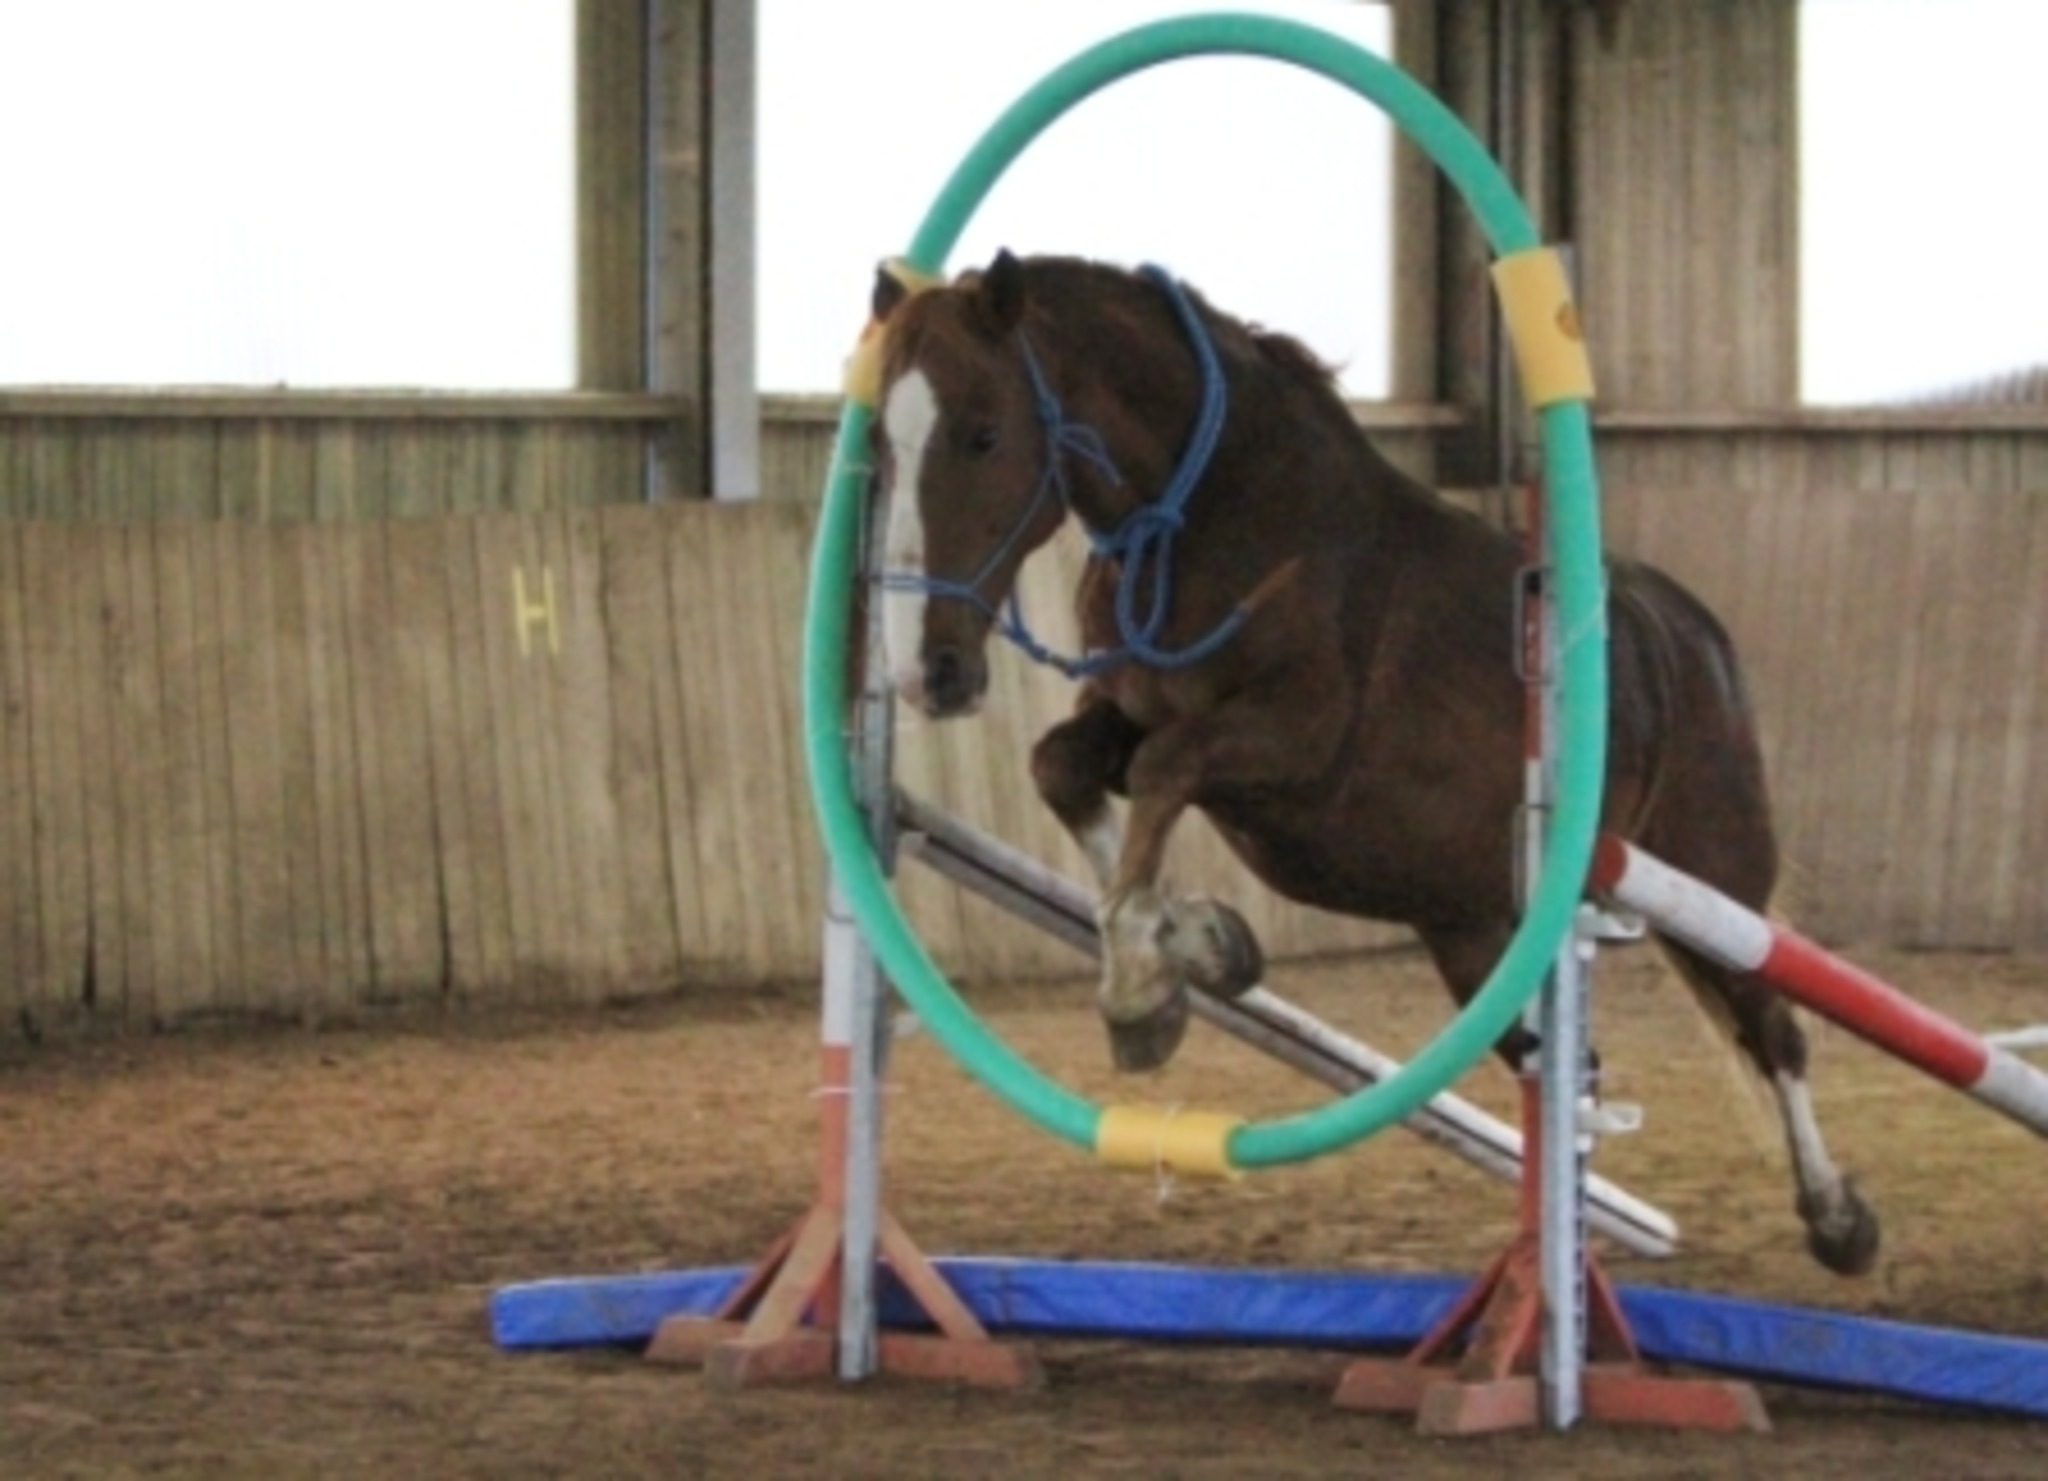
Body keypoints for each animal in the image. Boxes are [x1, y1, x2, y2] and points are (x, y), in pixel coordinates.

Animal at [865, 248, 1879, 1276]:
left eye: (985, 433)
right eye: (882, 444)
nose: (925, 670)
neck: (1217, 523)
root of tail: (1695, 638)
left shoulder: (1294, 742)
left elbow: (1164, 776)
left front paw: (1145, 984)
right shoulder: (1124, 717)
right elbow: (1064, 769)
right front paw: (1201, 942)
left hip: (1713, 880)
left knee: (1774, 1032)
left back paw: (1839, 1221)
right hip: (1472, 932)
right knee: (1565, 1065)